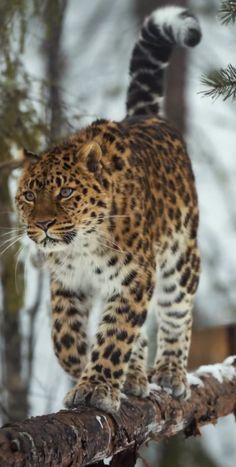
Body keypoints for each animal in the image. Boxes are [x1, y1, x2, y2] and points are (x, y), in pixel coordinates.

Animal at [15, 4, 201, 414]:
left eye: (66, 192)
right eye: (29, 196)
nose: (44, 224)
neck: (82, 245)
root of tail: (145, 116)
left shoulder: (135, 278)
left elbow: (116, 333)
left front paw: (97, 386)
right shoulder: (67, 282)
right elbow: (65, 338)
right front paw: (86, 368)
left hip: (181, 259)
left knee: (177, 314)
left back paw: (170, 372)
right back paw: (135, 375)